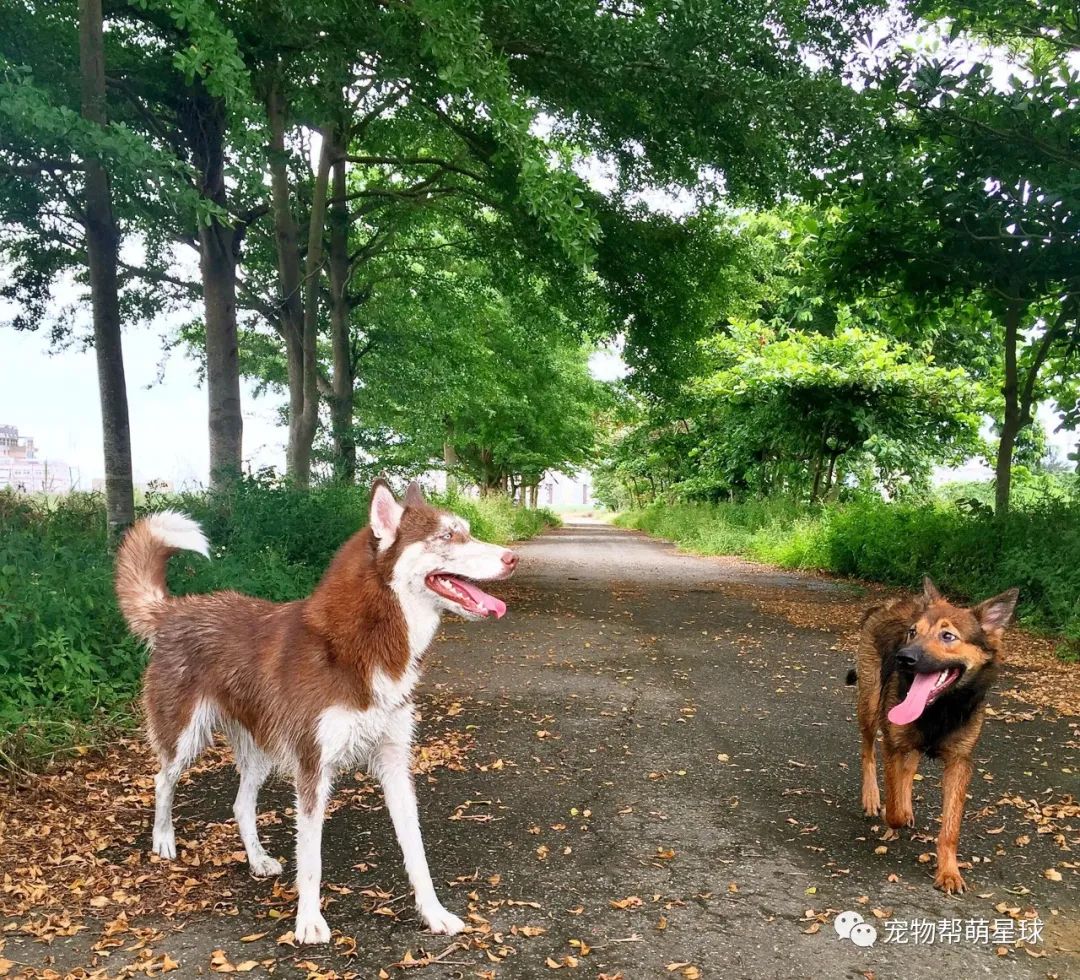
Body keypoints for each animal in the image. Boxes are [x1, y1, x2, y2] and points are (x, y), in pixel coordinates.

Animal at [846, 579, 1015, 894]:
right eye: (913, 632)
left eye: (948, 636)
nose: (903, 658)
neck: (940, 709)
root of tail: (889, 603)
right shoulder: (892, 745)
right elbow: (894, 808)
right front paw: (893, 813)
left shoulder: (960, 763)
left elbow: (950, 828)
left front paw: (949, 872)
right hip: (869, 706)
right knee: (867, 751)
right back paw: (872, 797)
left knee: (909, 767)